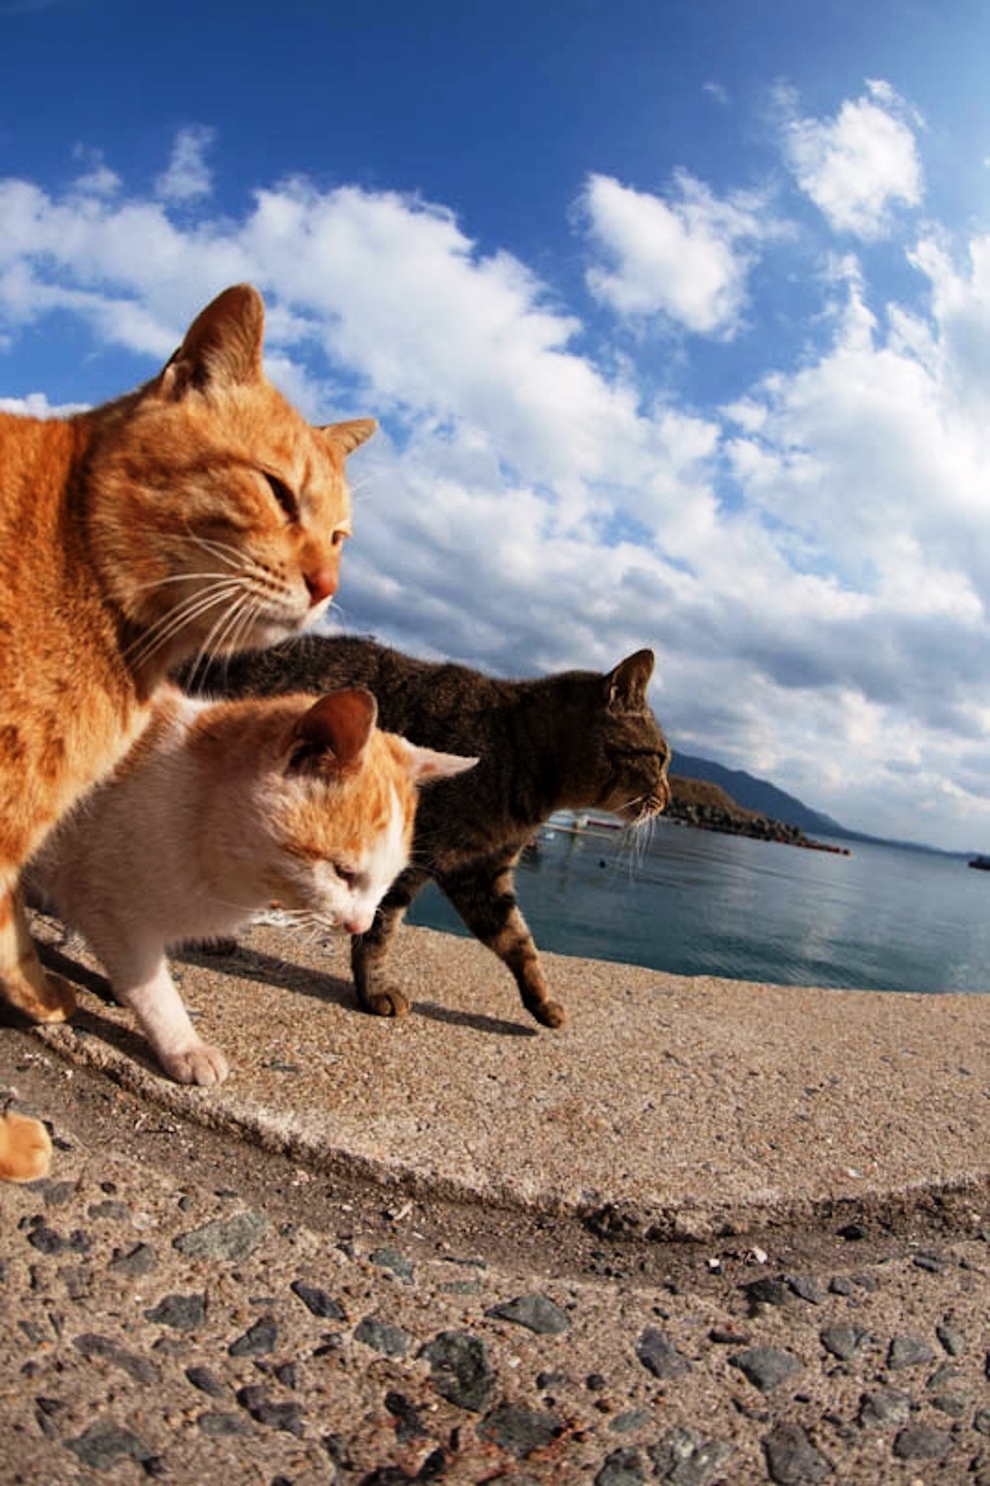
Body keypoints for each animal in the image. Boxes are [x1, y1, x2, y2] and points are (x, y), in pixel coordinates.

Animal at [181, 633, 665, 1028]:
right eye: (659, 757)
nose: (666, 798)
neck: (521, 764)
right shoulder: (407, 860)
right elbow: (378, 933)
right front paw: (375, 992)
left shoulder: (482, 874)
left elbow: (518, 942)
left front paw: (542, 1002)